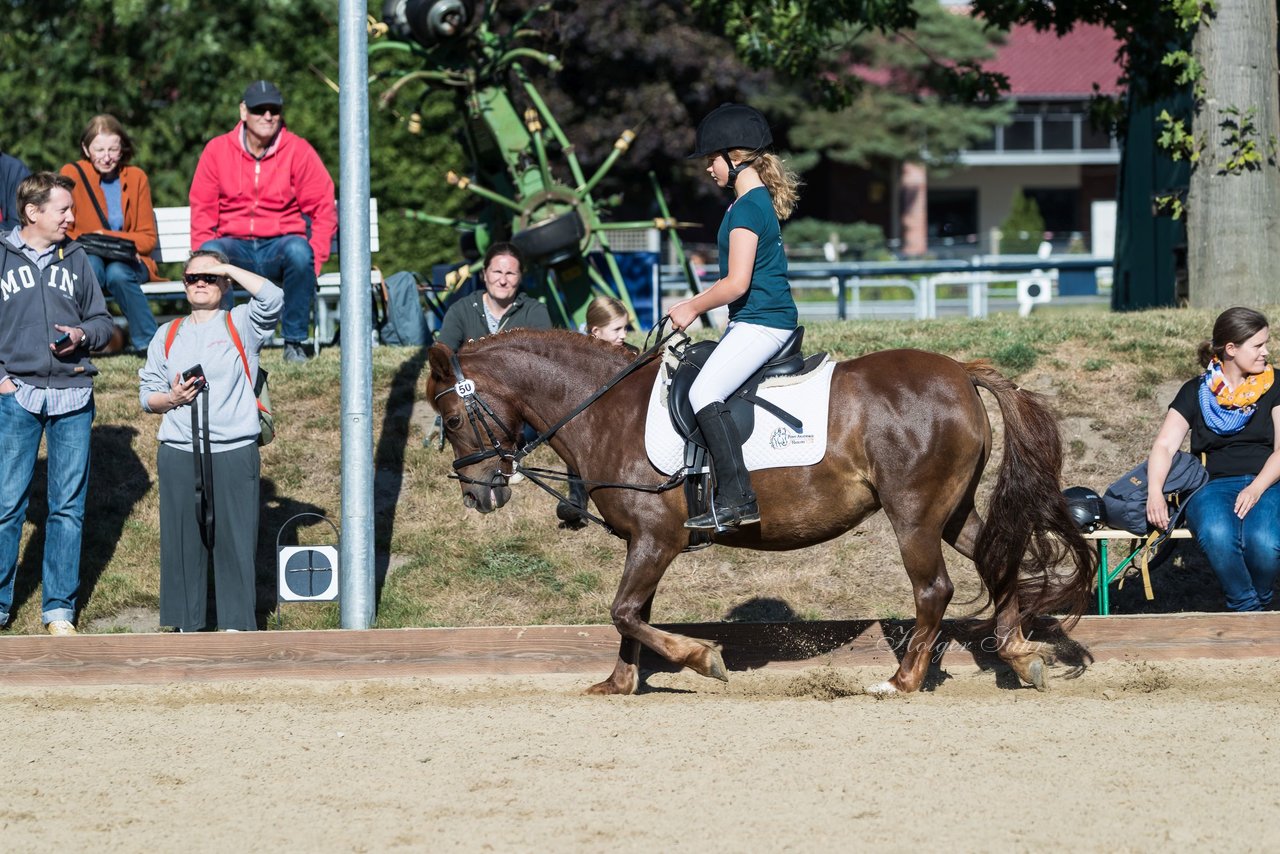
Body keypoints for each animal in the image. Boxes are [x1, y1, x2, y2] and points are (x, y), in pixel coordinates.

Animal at [424, 330, 1095, 696]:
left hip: (913, 514)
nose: (478, 494)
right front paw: (617, 684)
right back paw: (1019, 655)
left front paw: (704, 659)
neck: (604, 408)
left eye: (452, 420)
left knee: (934, 588)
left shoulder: (658, 538)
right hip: (948, 512)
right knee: (996, 559)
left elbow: (623, 611)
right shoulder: (642, 541)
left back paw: (902, 681)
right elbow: (631, 616)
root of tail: (961, 371)